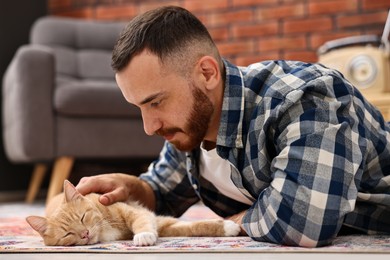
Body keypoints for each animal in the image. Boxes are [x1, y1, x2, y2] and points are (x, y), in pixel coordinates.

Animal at [25, 180, 239, 247]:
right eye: (67, 234)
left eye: (83, 217)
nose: (85, 234)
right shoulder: (165, 225)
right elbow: (191, 228)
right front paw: (229, 226)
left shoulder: (141, 215)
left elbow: (195, 225)